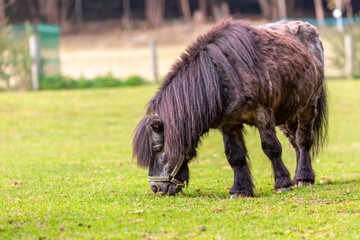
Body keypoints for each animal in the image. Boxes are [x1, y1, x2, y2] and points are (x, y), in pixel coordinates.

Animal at [134, 19, 328, 197]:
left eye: (157, 148)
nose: (156, 188)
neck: (222, 76)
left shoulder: (263, 115)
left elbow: (271, 148)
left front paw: (282, 183)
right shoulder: (228, 124)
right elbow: (235, 156)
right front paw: (240, 189)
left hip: (308, 106)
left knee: (303, 140)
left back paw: (304, 177)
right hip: (288, 114)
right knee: (295, 141)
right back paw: (298, 176)